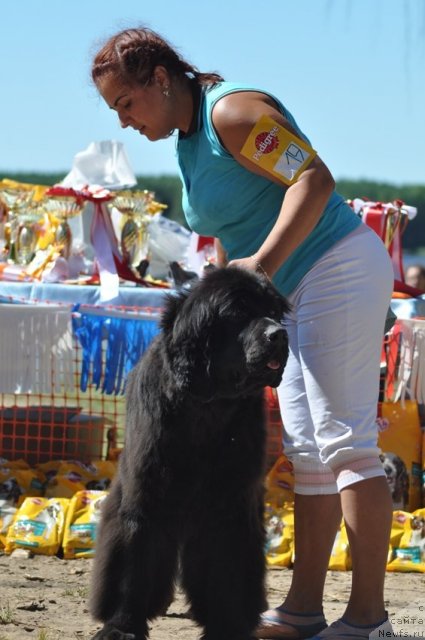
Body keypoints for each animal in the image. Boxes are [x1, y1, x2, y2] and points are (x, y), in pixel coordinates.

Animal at [89, 266, 288, 640]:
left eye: (273, 312)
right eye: (238, 312)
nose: (279, 334)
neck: (208, 407)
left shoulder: (230, 506)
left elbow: (228, 568)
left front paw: (228, 626)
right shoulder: (146, 498)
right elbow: (134, 563)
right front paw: (122, 626)